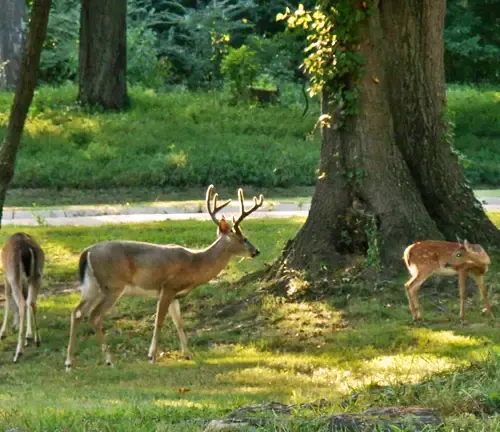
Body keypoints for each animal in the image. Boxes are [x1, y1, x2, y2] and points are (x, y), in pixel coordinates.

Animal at [0, 233, 45, 362]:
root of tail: (26, 249)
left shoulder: (6, 276)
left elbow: (7, 300)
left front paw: (2, 332)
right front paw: (27, 334)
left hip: (14, 276)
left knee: (22, 303)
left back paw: (18, 353)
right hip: (37, 275)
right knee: (31, 302)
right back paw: (36, 339)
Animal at [65, 184, 266, 370]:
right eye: (243, 239)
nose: (257, 251)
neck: (195, 264)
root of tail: (87, 252)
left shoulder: (175, 294)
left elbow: (179, 323)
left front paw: (188, 354)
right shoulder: (168, 286)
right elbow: (159, 322)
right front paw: (151, 356)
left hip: (92, 286)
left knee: (77, 312)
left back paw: (69, 363)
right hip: (112, 285)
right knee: (94, 316)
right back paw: (109, 360)